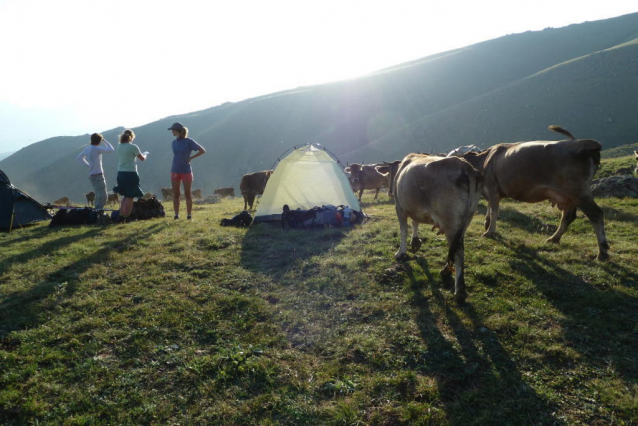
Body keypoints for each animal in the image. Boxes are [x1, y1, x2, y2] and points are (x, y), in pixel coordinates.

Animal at [380, 153, 480, 302]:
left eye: (389, 175)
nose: (389, 192)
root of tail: (465, 166)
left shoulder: (399, 207)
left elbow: (403, 230)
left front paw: (401, 252)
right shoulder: (415, 209)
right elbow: (415, 222)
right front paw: (415, 242)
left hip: (450, 220)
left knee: (458, 252)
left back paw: (459, 291)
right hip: (466, 220)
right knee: (455, 246)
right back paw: (445, 270)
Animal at [460, 125, 608, 260]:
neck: (484, 161)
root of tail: (586, 143)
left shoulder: (492, 188)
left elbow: (494, 211)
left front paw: (490, 231)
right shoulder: (491, 192)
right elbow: (490, 208)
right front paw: (487, 225)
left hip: (578, 192)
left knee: (595, 214)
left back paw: (602, 252)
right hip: (569, 196)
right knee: (568, 217)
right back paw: (554, 238)